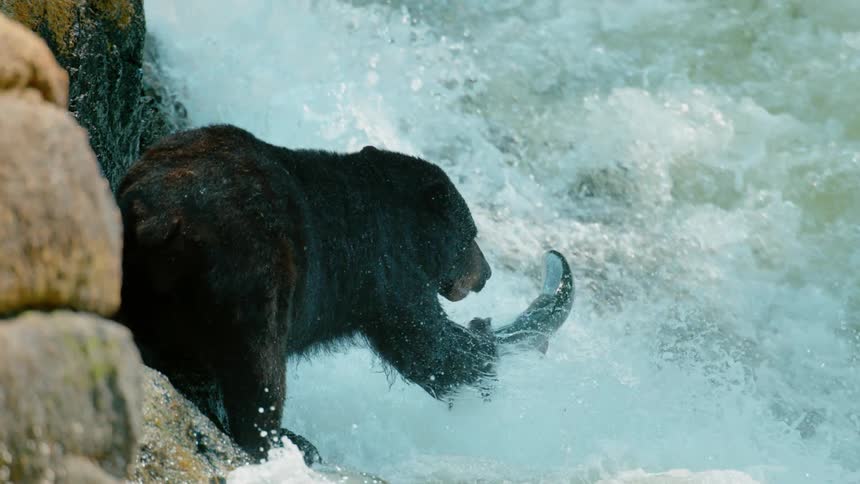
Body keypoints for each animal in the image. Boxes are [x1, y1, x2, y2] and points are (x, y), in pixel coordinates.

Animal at [116, 124, 497, 463]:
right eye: (471, 235)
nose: (487, 275)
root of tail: (163, 216)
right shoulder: (388, 268)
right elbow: (424, 344)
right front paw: (484, 341)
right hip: (253, 277)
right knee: (261, 365)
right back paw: (280, 441)